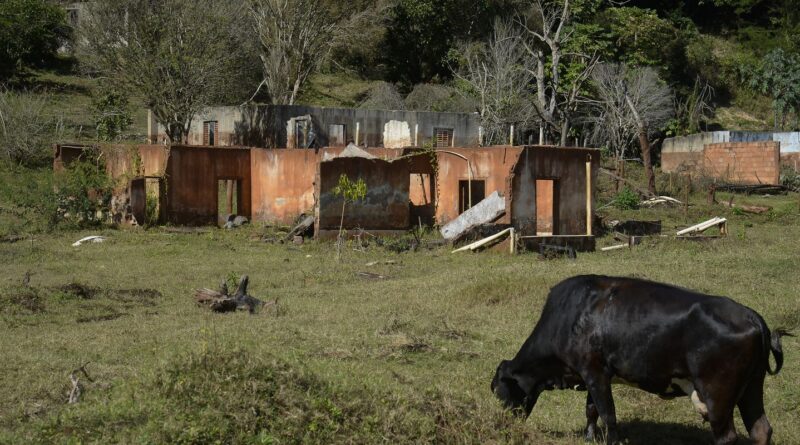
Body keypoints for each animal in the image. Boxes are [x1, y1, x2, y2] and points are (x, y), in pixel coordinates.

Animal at [490, 274, 792, 444]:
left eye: (499, 392)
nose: (504, 425)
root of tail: (752, 316)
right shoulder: (594, 375)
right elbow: (591, 410)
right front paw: (589, 437)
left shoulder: (594, 372)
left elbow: (608, 415)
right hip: (751, 388)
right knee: (761, 430)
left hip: (717, 394)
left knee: (727, 437)